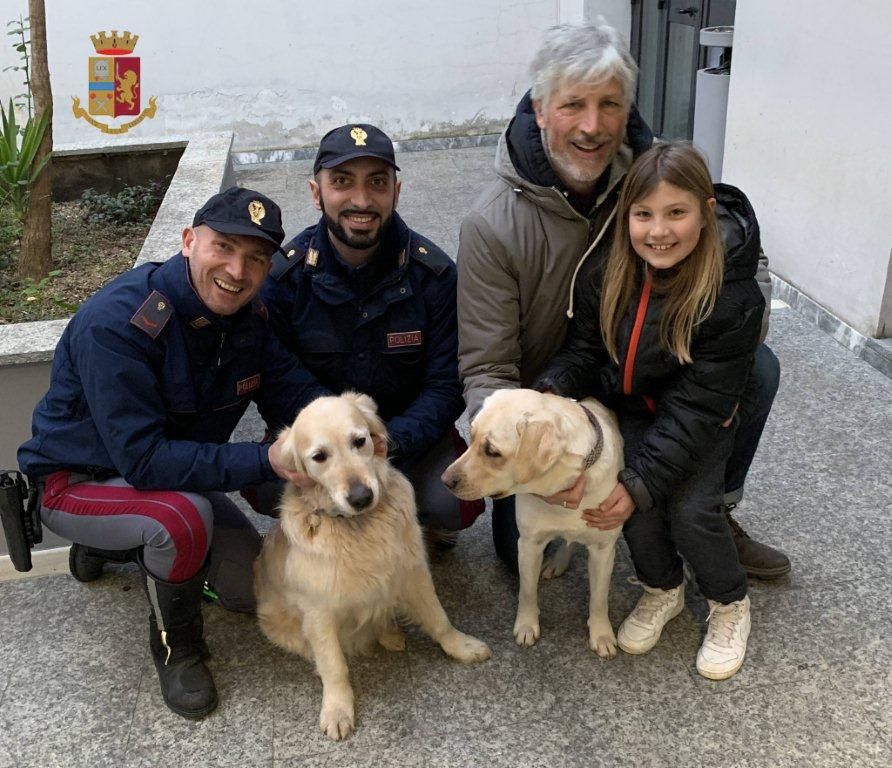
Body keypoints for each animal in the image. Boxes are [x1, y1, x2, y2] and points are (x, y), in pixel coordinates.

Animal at [256, 392, 494, 740]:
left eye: (360, 441)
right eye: (319, 457)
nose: (361, 497)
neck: (358, 526)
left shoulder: (412, 571)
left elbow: (438, 618)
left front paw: (460, 646)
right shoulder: (318, 611)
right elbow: (334, 664)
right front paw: (337, 708)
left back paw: (391, 634)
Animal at [442, 390, 624, 660]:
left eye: (492, 451)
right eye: (471, 437)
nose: (444, 481)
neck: (561, 490)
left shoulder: (603, 549)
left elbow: (600, 599)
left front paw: (602, 634)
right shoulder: (529, 543)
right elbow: (527, 590)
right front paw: (526, 626)